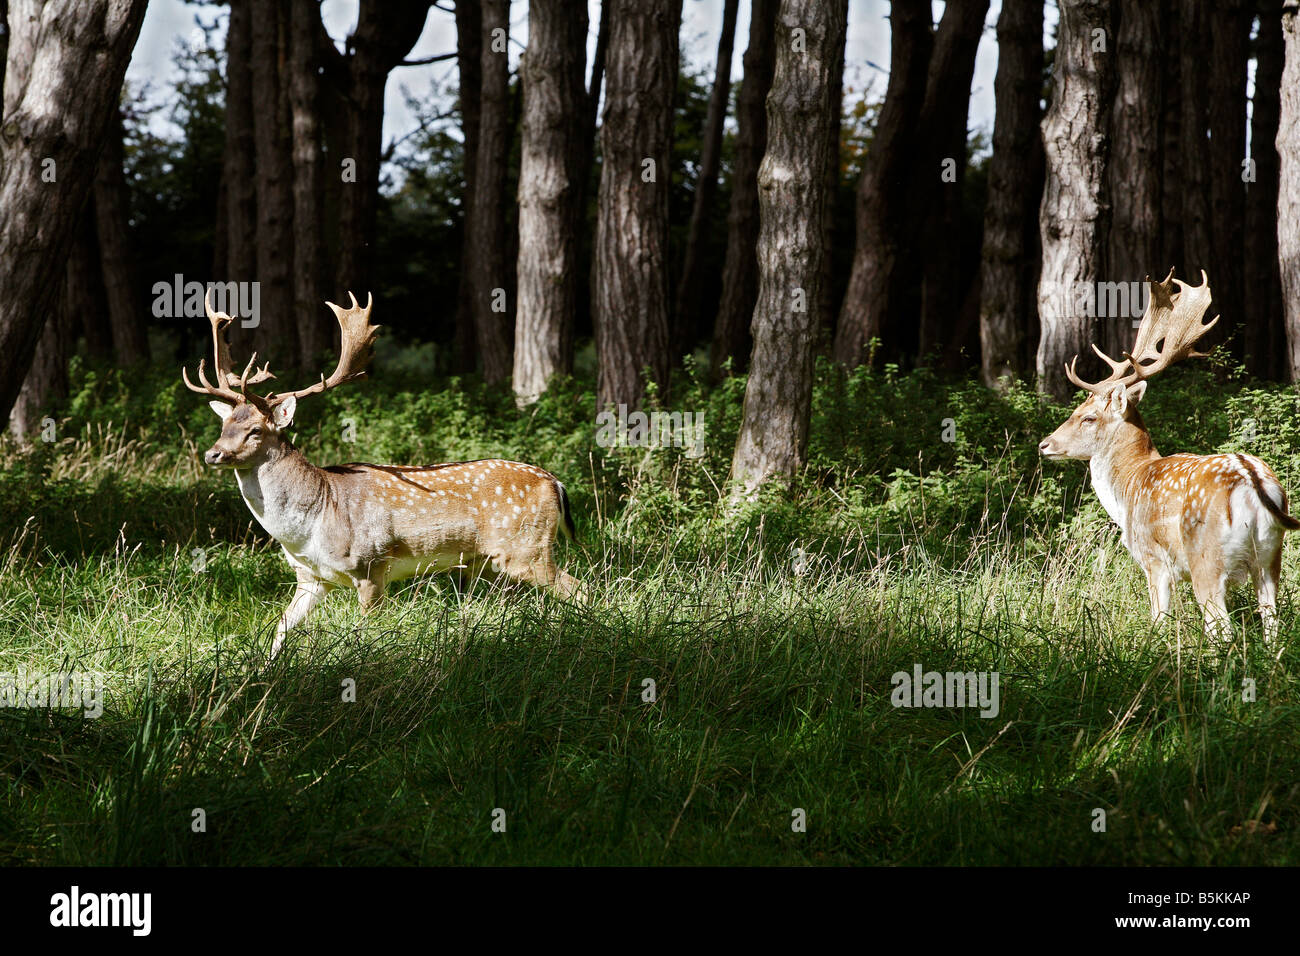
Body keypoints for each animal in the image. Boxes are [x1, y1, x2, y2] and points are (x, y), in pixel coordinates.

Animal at [183, 291, 585, 658]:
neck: (308, 526)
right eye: (224, 425)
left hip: (528, 549)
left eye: (255, 430)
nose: (213, 453)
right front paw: (264, 674)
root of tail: (555, 482)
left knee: (577, 586)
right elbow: (281, 629)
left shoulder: (369, 568)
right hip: (488, 562)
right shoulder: (311, 578)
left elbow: (364, 634)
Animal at [1034, 269, 1300, 642]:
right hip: (1270, 557)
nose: (1045, 445)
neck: (1127, 487)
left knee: (1222, 630)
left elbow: (1158, 620)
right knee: (1272, 625)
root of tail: (1254, 485)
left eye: (1088, 417)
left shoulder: (1154, 560)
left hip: (1206, 559)